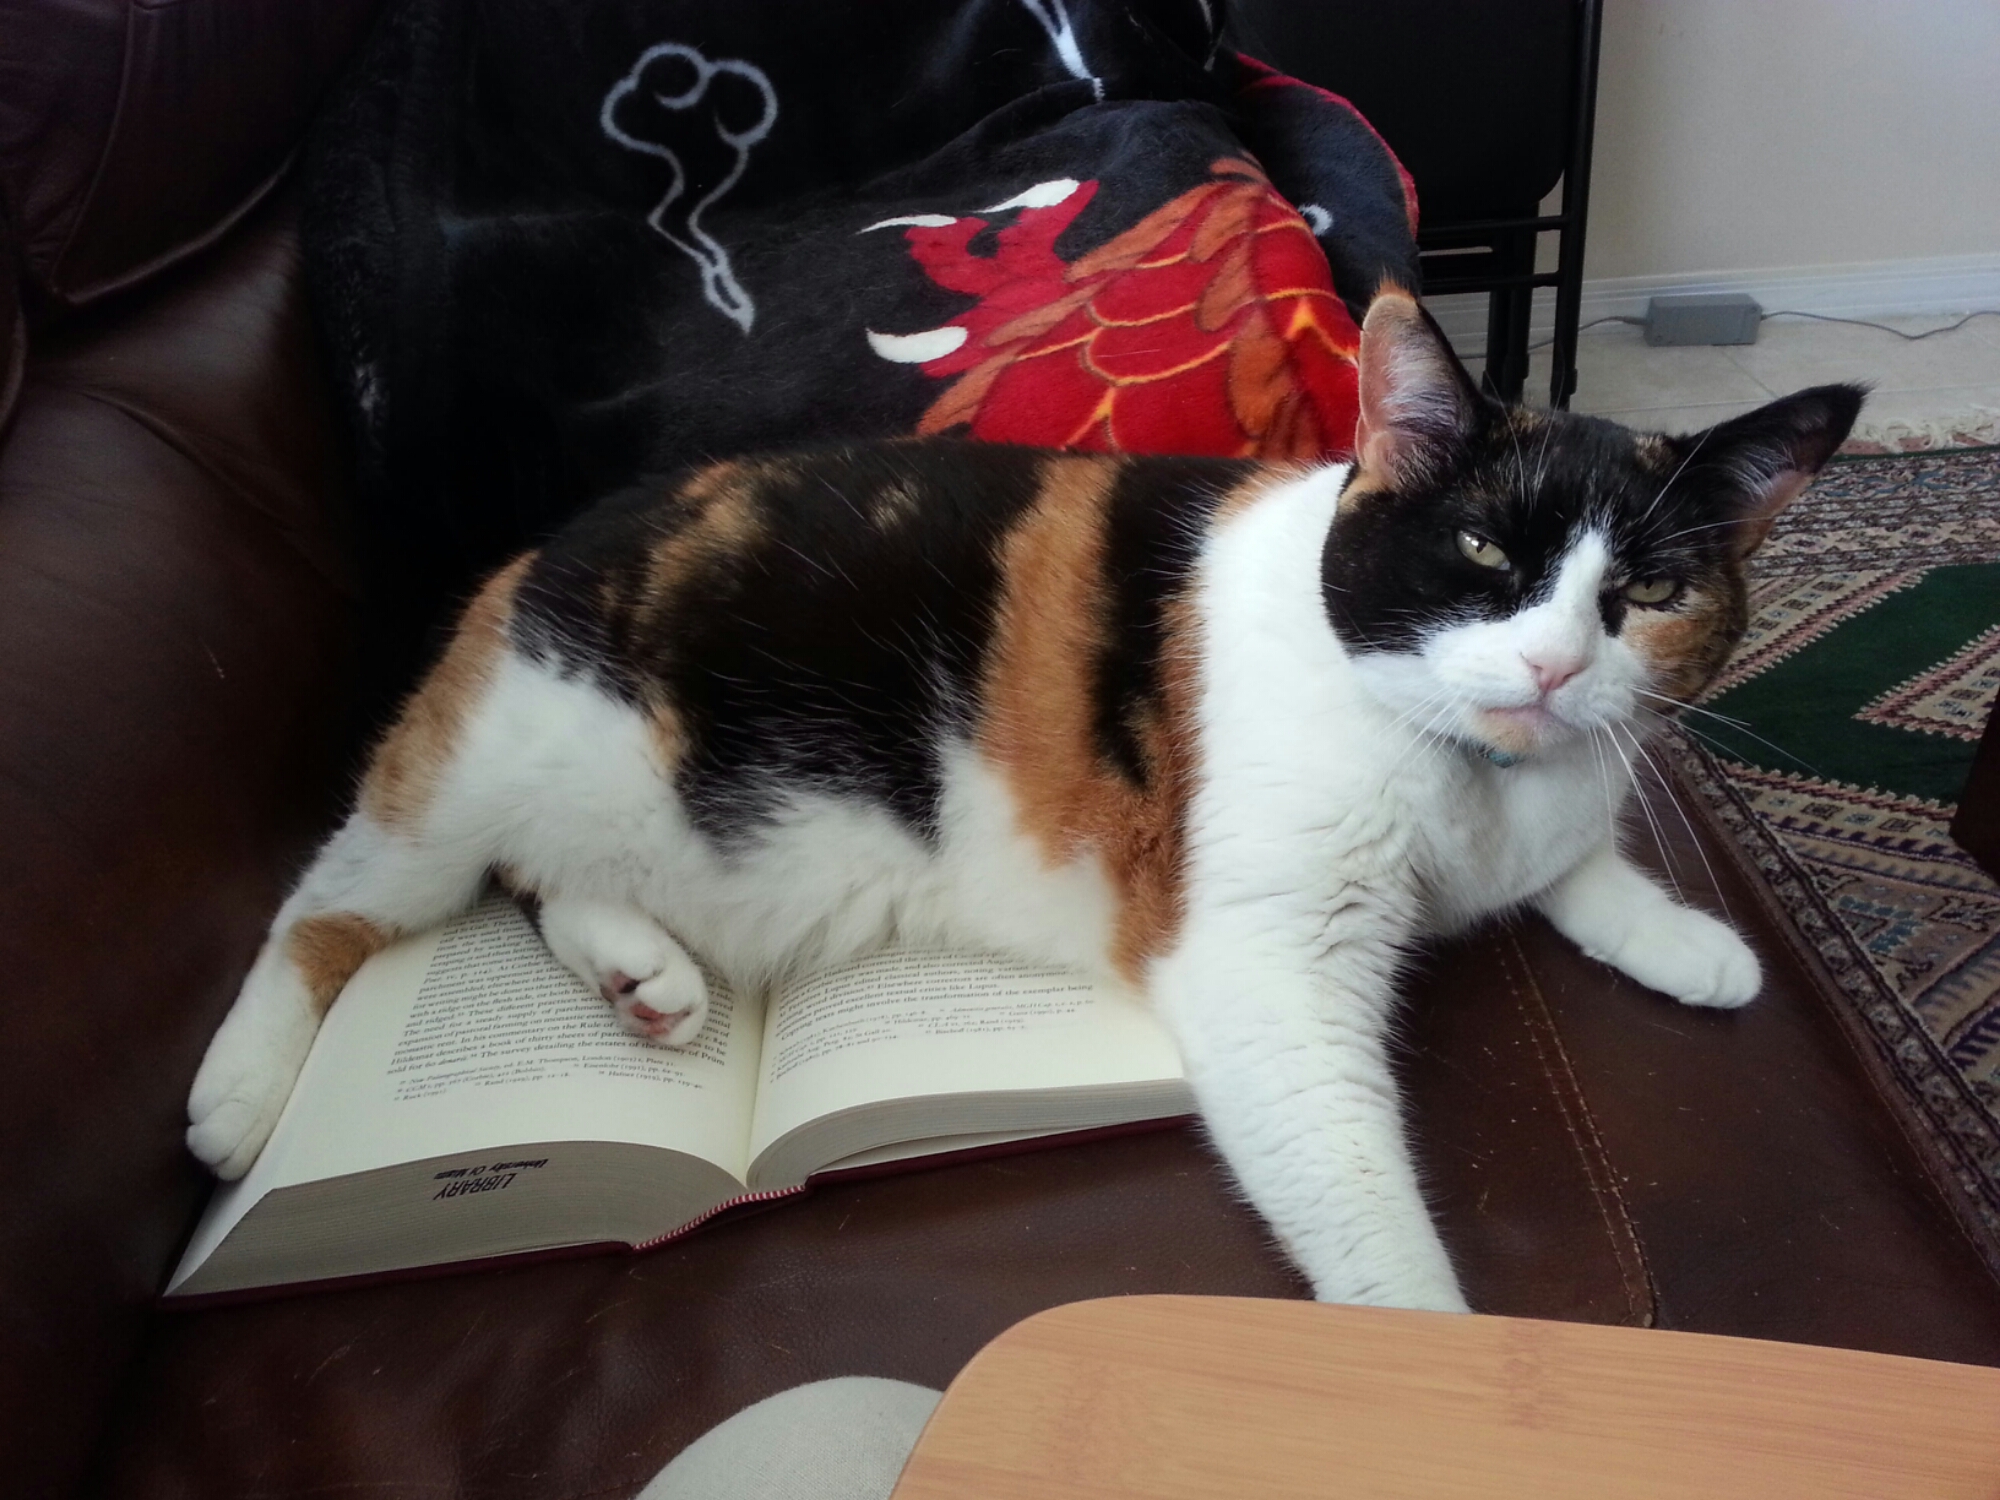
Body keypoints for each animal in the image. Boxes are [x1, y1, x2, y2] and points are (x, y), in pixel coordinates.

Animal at [186, 288, 1862, 1312]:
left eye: (1648, 597)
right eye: (1482, 559)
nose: (1553, 665)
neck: (1461, 770)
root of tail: (534, 551)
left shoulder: (1549, 796)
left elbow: (1573, 858)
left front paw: (1687, 940)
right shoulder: (1259, 959)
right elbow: (1354, 1182)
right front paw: (1432, 1359)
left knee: (542, 884)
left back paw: (639, 972)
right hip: (477, 775)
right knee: (331, 900)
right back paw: (239, 1096)